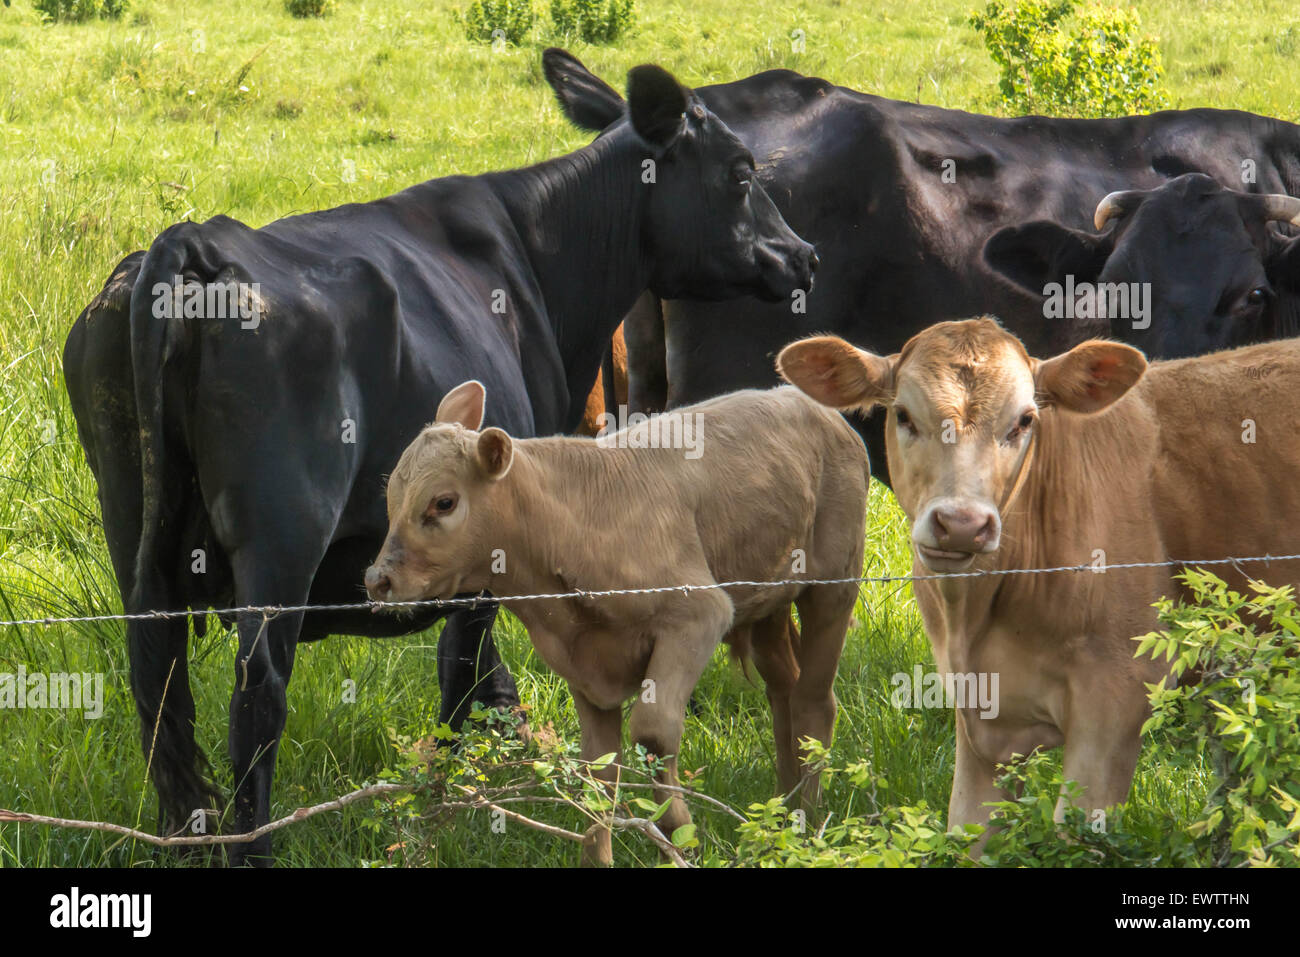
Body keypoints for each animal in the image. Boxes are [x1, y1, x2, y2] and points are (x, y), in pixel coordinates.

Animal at [62, 61, 816, 865]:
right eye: (741, 171)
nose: (806, 254)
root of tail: (192, 243)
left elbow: (484, 677)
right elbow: (462, 672)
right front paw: (449, 806)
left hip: (132, 532)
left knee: (157, 676)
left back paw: (184, 834)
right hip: (281, 535)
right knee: (256, 690)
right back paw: (253, 844)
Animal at [364, 379, 868, 866]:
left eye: (443, 502)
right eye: (390, 498)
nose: (377, 579)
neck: (569, 525)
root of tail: (803, 401)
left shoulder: (699, 615)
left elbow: (653, 733)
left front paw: (680, 837)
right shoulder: (581, 662)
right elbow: (598, 771)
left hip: (834, 585)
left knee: (813, 701)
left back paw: (809, 819)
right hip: (770, 599)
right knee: (783, 687)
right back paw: (781, 811)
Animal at [777, 318, 1300, 840]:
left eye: (1025, 421)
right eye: (903, 415)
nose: (962, 524)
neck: (977, 618)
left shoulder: (1118, 698)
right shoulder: (978, 716)